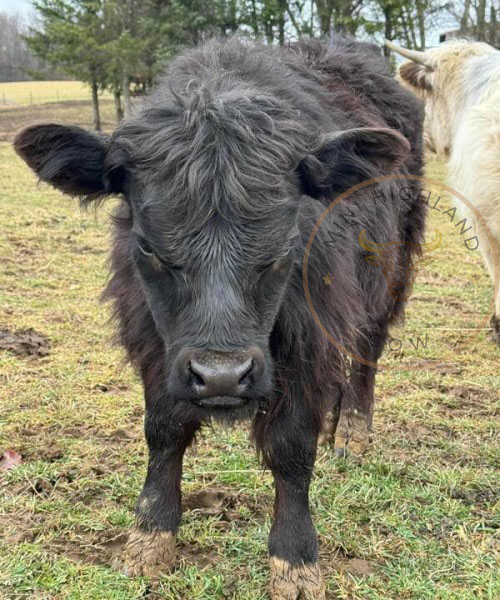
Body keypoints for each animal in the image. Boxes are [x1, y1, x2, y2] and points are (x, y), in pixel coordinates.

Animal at [13, 37, 424, 600]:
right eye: (149, 247)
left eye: (283, 247)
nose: (222, 377)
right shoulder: (154, 341)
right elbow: (163, 431)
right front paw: (149, 540)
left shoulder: (308, 343)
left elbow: (291, 448)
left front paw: (296, 563)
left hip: (388, 280)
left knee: (365, 355)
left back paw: (353, 432)